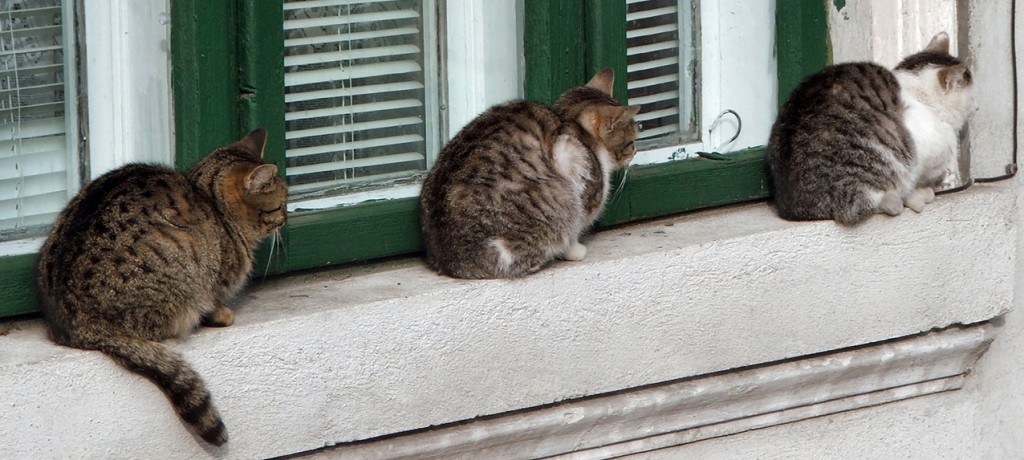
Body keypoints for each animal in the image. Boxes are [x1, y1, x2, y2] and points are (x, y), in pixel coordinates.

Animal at [37, 127, 286, 442]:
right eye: (280, 204)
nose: (286, 218)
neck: (212, 203)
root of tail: (78, 325)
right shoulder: (213, 283)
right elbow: (214, 301)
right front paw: (222, 314)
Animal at [419, 67, 634, 276]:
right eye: (632, 139)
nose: (635, 151)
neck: (567, 119)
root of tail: (457, 260)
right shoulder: (570, 158)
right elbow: (575, 228)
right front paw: (575, 251)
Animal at [770, 32, 974, 224]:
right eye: (972, 95)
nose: (977, 106)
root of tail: (801, 209)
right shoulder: (923, 157)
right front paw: (918, 193)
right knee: (871, 206)